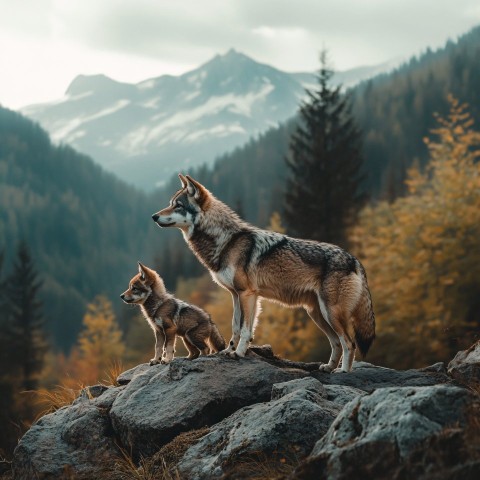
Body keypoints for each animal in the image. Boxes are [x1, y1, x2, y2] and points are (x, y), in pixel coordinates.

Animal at [151, 174, 376, 374]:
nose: (154, 216)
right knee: (337, 342)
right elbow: (235, 327)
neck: (227, 241)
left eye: (177, 205)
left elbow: (245, 330)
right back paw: (328, 367)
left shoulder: (248, 294)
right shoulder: (236, 295)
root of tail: (355, 260)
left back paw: (343, 371)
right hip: (317, 314)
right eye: (171, 204)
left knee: (349, 342)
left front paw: (238, 353)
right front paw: (227, 351)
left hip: (330, 313)